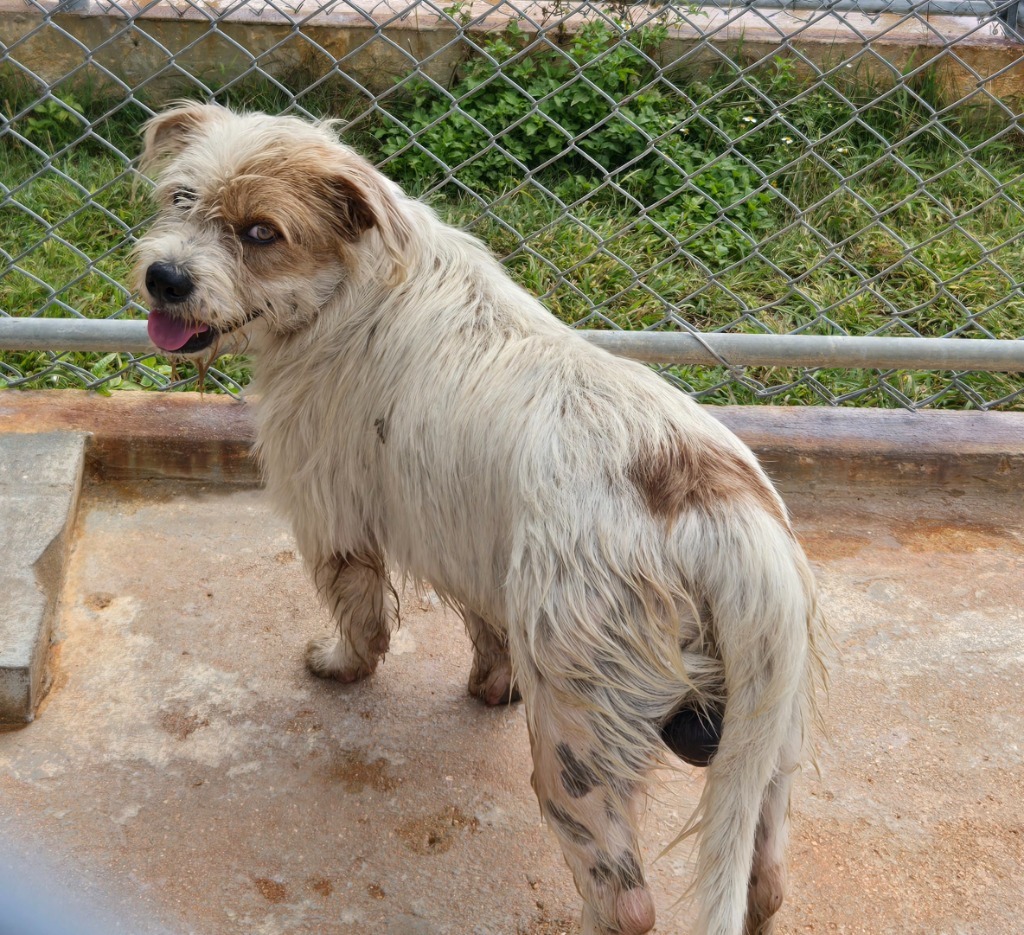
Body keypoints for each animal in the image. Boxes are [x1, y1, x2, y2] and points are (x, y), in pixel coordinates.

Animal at [134, 103, 823, 933]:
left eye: (262, 231)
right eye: (181, 198)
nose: (164, 278)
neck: (358, 288)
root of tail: (729, 516)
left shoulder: (331, 513)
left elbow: (361, 617)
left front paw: (339, 665)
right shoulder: (475, 547)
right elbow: (486, 631)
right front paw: (491, 686)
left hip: (577, 743)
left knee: (627, 901)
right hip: (767, 735)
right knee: (767, 877)